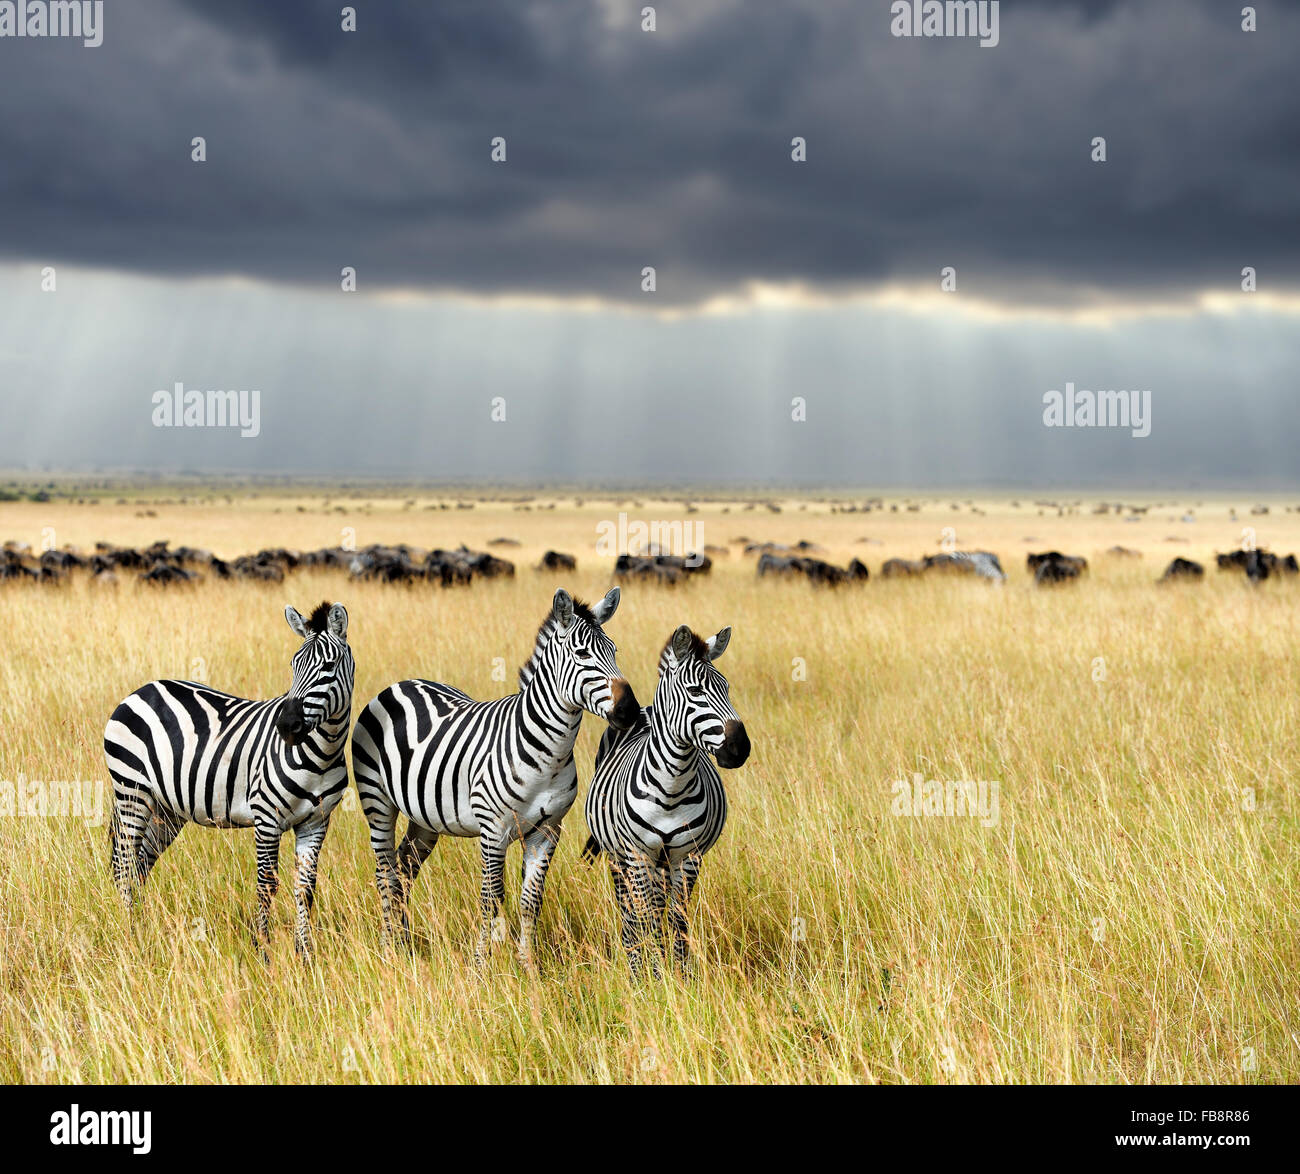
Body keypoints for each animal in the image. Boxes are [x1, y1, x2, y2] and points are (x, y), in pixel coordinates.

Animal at [103, 600, 353, 962]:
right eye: (293, 665)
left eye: (329, 666)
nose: (286, 725)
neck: (321, 753)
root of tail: (142, 689)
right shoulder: (267, 817)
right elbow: (266, 885)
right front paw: (263, 953)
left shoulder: (316, 822)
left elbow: (305, 889)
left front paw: (304, 956)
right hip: (131, 792)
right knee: (123, 867)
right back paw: (127, 938)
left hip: (166, 808)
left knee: (139, 866)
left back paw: (140, 933)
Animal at [351, 587, 639, 972]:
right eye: (582, 654)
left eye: (614, 651)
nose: (630, 711)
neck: (548, 754)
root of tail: (400, 683)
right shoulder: (493, 830)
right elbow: (490, 897)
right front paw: (480, 968)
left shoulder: (547, 831)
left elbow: (531, 901)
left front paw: (528, 967)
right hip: (378, 802)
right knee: (385, 872)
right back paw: (387, 951)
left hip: (424, 818)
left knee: (403, 868)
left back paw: (403, 943)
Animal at [582, 624, 754, 982]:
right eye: (694, 691)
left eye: (727, 688)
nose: (740, 747)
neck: (672, 787)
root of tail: (644, 709)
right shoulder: (637, 855)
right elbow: (646, 916)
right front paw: (650, 976)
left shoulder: (687, 856)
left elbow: (677, 918)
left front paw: (680, 975)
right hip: (618, 858)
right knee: (629, 911)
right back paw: (634, 958)